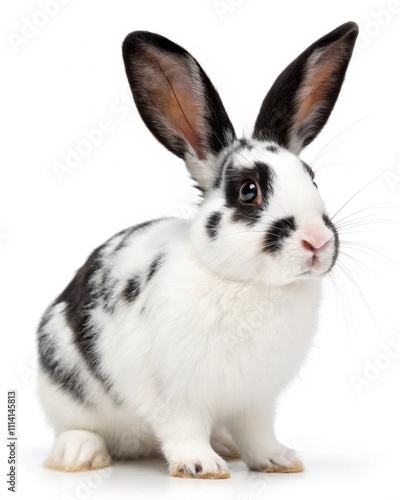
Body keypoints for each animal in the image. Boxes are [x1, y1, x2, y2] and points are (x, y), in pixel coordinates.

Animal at [37, 21, 360, 478]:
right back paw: (80, 455)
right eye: (248, 191)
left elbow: (258, 433)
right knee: (75, 427)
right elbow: (183, 428)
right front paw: (200, 466)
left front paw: (278, 460)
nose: (317, 241)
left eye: (312, 179)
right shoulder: (175, 394)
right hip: (63, 383)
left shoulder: (257, 400)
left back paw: (226, 445)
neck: (248, 285)